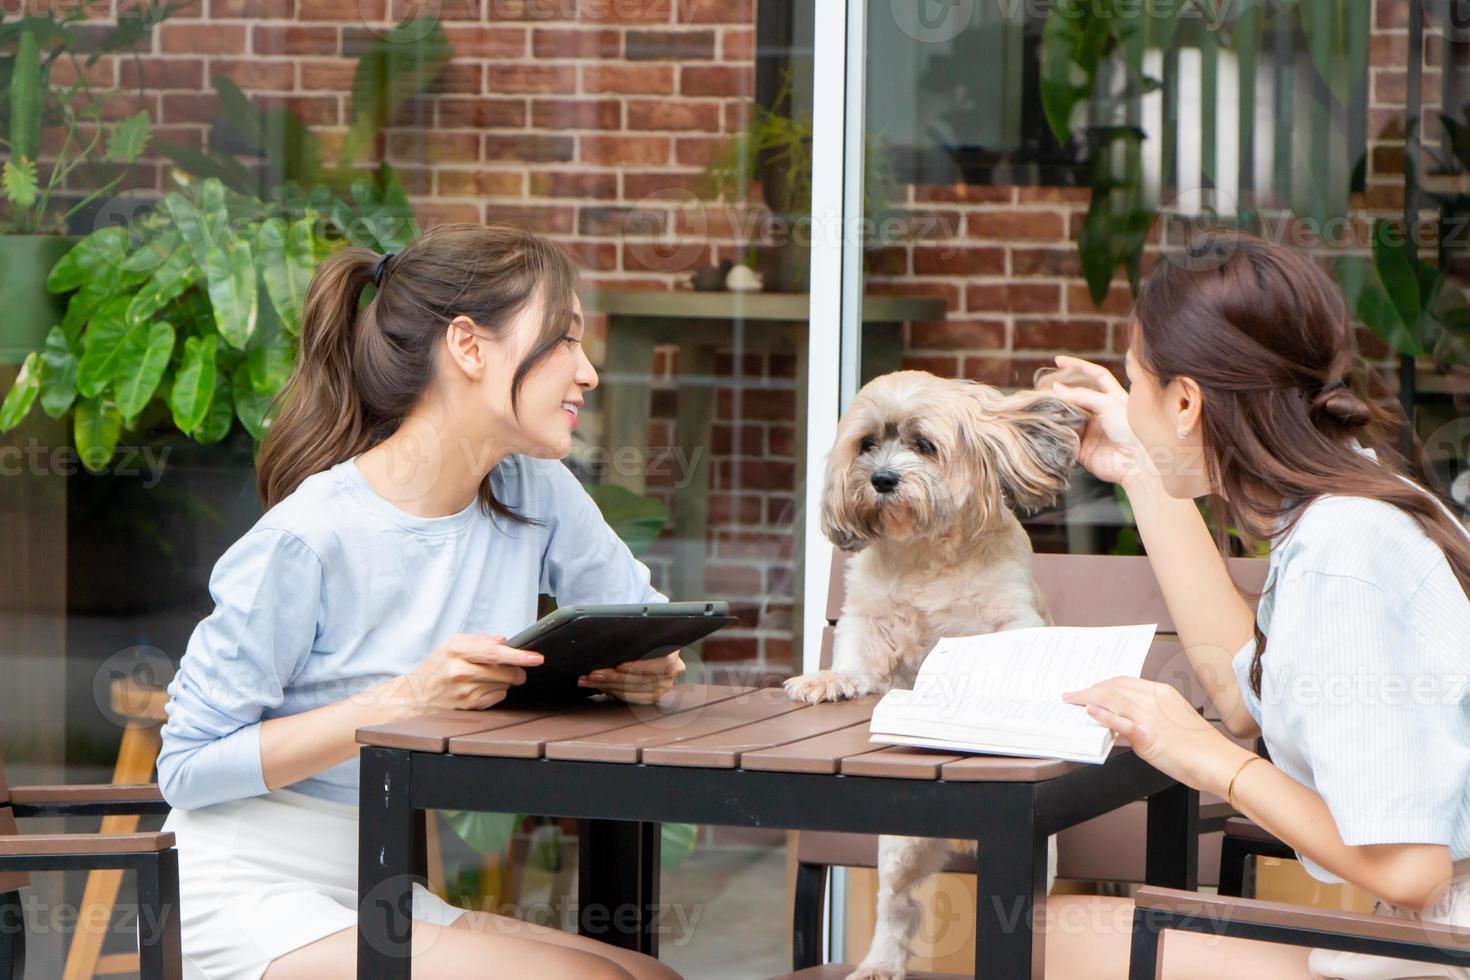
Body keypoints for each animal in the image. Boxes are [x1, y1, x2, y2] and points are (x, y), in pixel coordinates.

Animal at [787, 370, 1087, 980]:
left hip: (1042, 863)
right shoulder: (865, 621)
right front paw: (828, 681)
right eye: (867, 444)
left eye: (923, 444)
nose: (881, 478)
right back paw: (880, 962)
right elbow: (855, 661)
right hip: (900, 848)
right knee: (897, 908)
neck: (926, 552)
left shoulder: (1011, 616)